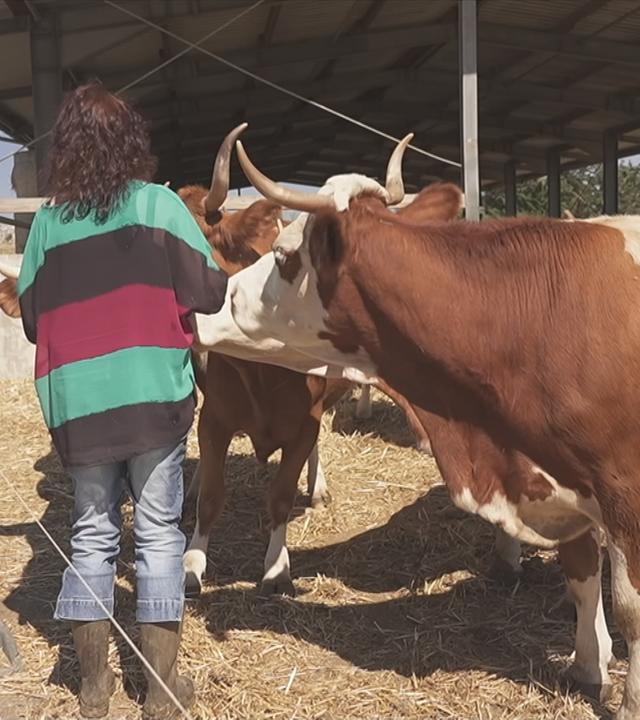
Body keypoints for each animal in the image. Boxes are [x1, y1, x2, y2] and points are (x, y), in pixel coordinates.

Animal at [222, 135, 640, 718]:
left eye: (284, 256)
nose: (226, 294)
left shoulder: (624, 490)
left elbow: (630, 609)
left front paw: (627, 697)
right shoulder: (560, 477)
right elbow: (581, 574)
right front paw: (586, 663)